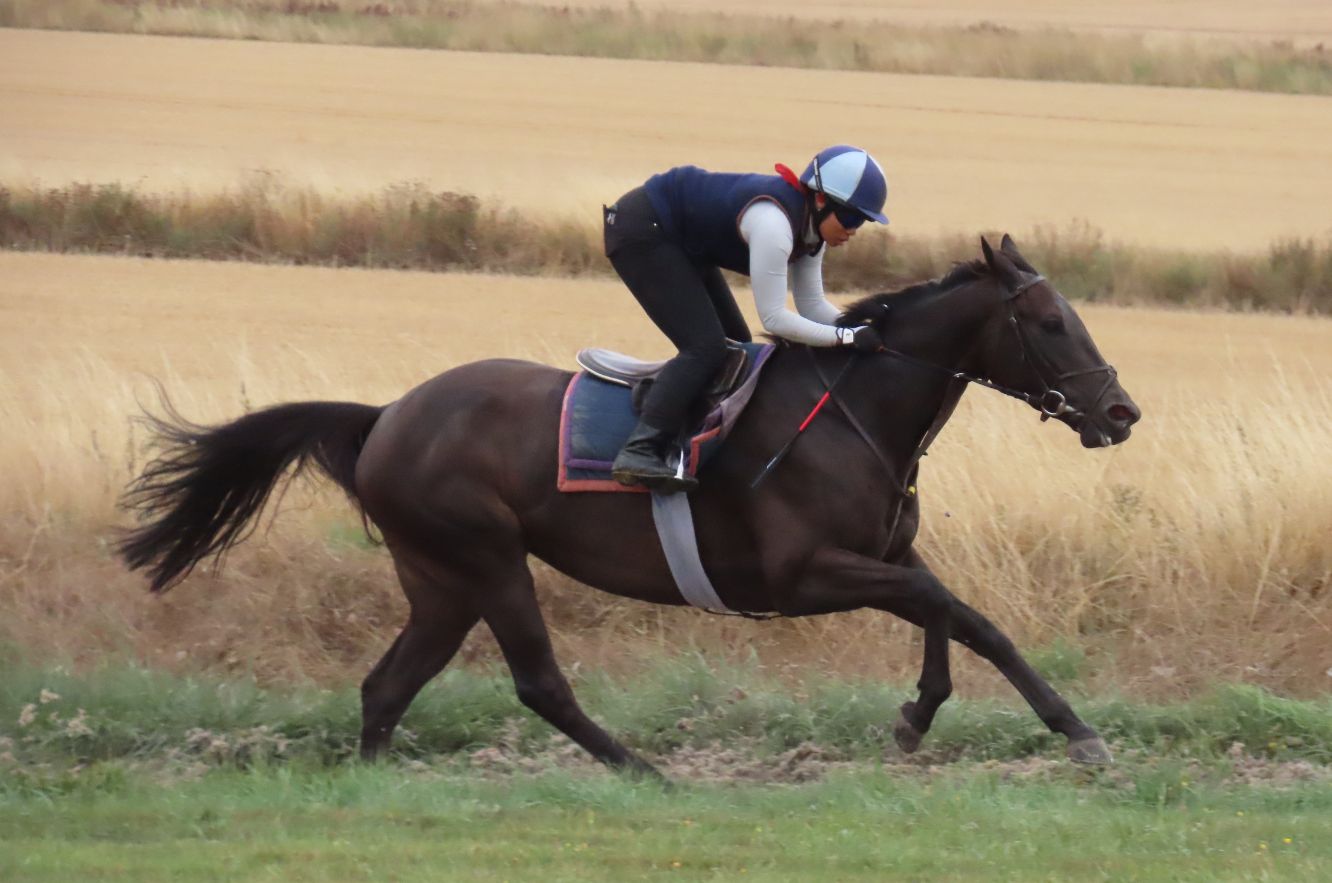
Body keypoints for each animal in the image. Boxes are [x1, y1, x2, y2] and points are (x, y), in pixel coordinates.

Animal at [118, 235, 1141, 777]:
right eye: (1051, 324)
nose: (1120, 412)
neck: (856, 411)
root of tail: (385, 417)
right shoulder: (801, 575)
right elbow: (950, 607)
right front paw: (995, 721)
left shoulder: (883, 554)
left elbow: (962, 616)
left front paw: (983, 719)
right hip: (485, 553)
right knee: (535, 679)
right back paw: (638, 768)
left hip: (439, 577)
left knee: (389, 683)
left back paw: (376, 782)